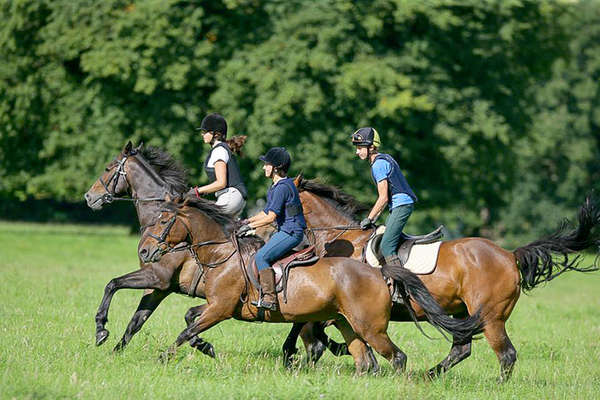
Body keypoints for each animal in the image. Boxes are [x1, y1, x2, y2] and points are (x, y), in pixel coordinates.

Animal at [135, 196, 482, 372]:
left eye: (163, 221)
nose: (144, 252)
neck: (223, 253)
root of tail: (378, 273)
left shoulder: (220, 308)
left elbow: (186, 330)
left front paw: (165, 358)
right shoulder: (217, 307)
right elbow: (189, 320)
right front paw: (205, 348)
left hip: (370, 326)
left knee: (396, 357)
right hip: (352, 323)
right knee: (371, 358)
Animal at [288, 176, 600, 382]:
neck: (345, 241)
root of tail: (510, 255)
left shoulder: (337, 307)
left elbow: (313, 331)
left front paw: (309, 355)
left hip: (491, 317)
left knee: (506, 354)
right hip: (464, 313)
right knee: (462, 349)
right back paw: (429, 375)